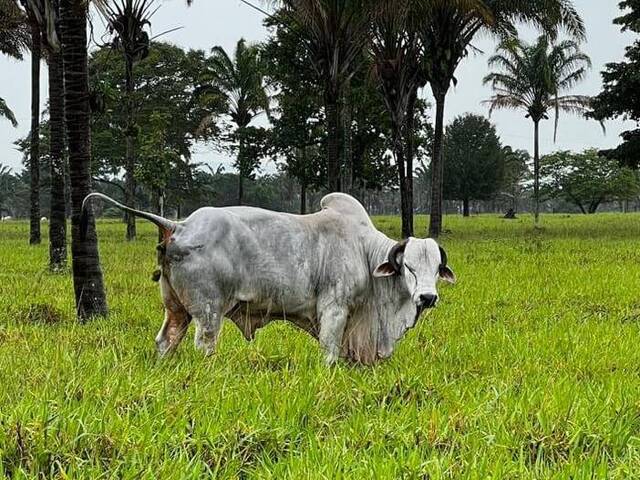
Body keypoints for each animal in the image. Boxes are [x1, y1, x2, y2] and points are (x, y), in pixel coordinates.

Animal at [82, 191, 456, 364]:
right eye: (408, 267)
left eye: (436, 268)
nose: (427, 297)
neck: (364, 251)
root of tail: (180, 225)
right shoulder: (334, 309)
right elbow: (330, 351)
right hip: (208, 312)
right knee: (205, 344)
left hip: (176, 309)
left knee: (166, 341)